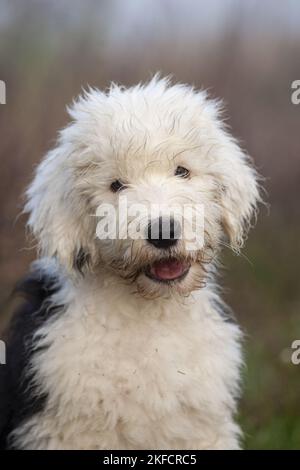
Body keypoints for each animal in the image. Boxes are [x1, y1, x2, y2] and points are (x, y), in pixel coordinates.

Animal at [0, 76, 260, 448]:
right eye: (116, 185)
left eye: (182, 171)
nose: (163, 232)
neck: (149, 316)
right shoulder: (59, 428)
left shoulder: (202, 428)